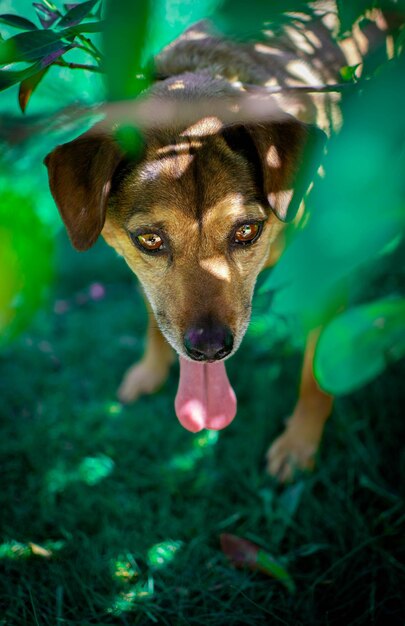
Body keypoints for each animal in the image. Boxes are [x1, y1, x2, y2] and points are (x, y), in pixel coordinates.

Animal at [42, 7, 386, 480]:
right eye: (150, 239)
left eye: (246, 231)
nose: (208, 350)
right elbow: (154, 319)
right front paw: (149, 371)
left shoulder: (327, 277)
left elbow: (316, 376)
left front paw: (298, 444)